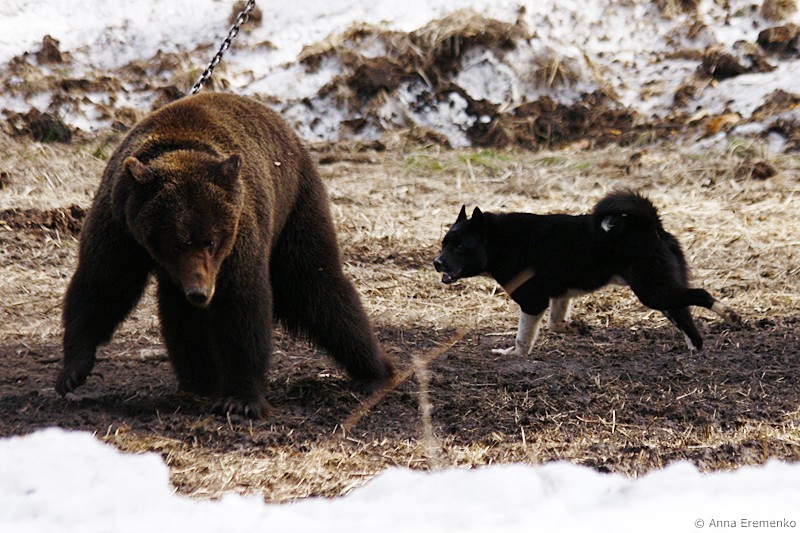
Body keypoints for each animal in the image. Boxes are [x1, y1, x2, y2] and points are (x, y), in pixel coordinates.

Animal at [56, 92, 396, 418]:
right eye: (175, 242)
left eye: (211, 241)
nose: (201, 291)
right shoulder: (121, 229)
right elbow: (103, 285)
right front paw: (72, 371)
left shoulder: (237, 238)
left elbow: (241, 305)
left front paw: (241, 400)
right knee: (179, 313)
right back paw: (199, 379)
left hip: (295, 205)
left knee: (314, 284)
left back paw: (375, 371)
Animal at [433, 190, 741, 354]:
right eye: (444, 243)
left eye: (459, 247)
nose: (437, 262)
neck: (499, 241)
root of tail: (649, 225)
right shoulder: (559, 296)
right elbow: (556, 324)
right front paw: (577, 328)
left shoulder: (532, 301)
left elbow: (523, 336)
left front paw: (514, 354)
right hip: (662, 290)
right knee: (687, 317)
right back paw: (694, 349)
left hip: (653, 291)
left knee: (701, 294)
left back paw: (729, 315)